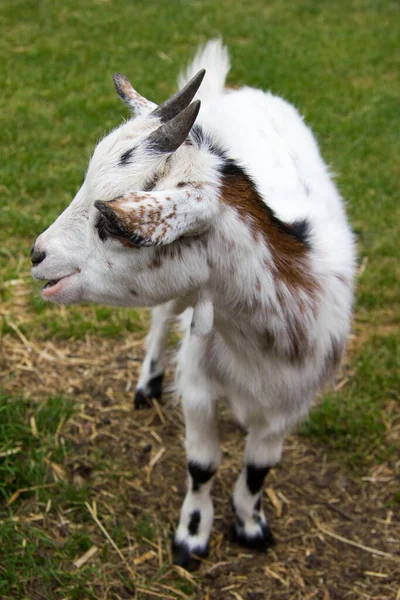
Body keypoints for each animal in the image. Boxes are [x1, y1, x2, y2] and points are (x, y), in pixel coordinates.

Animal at [31, 39, 356, 564]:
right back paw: (148, 384)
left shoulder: (290, 402)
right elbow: (202, 464)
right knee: (162, 320)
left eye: (112, 224)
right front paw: (192, 536)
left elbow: (260, 467)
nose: (38, 254)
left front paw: (251, 524)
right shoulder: (201, 385)